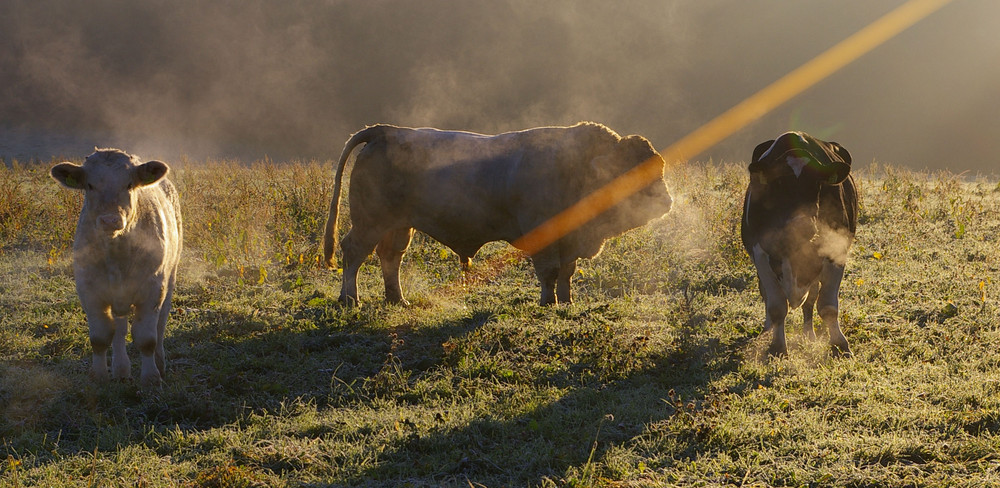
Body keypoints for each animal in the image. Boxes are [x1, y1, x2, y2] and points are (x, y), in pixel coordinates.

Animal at [52, 149, 184, 388]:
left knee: (160, 325)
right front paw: (99, 375)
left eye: (129, 184)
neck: (116, 253)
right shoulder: (89, 289)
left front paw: (151, 378)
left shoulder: (153, 288)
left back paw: (160, 364)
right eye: (90, 185)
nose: (110, 220)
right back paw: (121, 370)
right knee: (119, 329)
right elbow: (100, 337)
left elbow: (146, 338)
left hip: (170, 277)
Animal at [324, 122, 676, 304]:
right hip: (370, 222)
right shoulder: (544, 238)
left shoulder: (569, 242)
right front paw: (548, 302)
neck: (577, 168)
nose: (667, 202)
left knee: (390, 257)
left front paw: (567, 302)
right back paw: (350, 300)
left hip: (399, 225)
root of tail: (385, 131)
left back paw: (397, 300)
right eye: (631, 173)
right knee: (354, 251)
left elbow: (566, 272)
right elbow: (549, 271)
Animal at [744, 132, 860, 356]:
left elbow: (827, 306)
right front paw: (778, 347)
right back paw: (767, 329)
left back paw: (809, 334)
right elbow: (776, 307)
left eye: (816, 184)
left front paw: (839, 345)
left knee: (810, 299)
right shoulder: (759, 252)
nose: (803, 225)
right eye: (779, 184)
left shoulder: (836, 249)